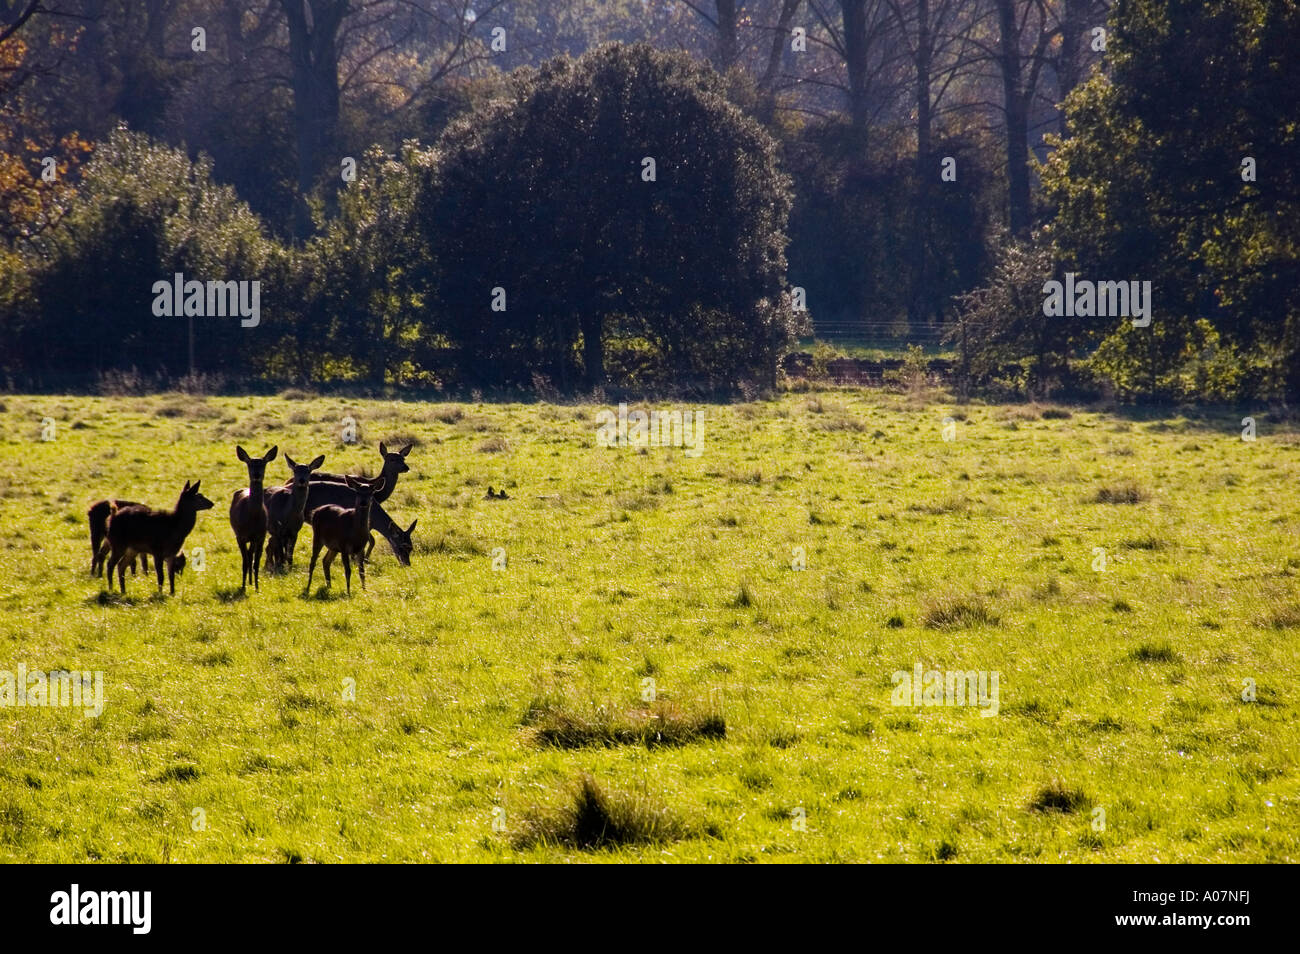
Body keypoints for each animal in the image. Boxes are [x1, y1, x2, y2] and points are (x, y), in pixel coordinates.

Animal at [228, 447, 276, 590]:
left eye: (263, 464)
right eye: (249, 464)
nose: (256, 474)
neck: (252, 517)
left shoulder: (261, 535)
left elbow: (256, 562)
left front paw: (257, 587)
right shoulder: (240, 536)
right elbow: (244, 562)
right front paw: (243, 587)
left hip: (254, 539)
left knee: (251, 555)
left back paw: (250, 581)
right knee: (248, 556)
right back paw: (247, 582)